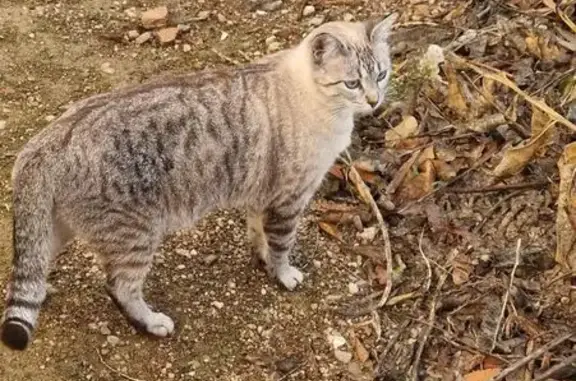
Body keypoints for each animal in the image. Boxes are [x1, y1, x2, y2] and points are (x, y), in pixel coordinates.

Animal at [0, 15, 396, 350]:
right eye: (352, 83)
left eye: (382, 74)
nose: (374, 101)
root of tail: (46, 140)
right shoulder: (288, 199)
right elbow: (282, 245)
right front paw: (283, 274)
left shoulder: (262, 195)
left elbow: (259, 233)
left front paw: (262, 258)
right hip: (135, 235)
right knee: (118, 286)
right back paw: (151, 322)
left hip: (56, 228)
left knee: (29, 266)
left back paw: (43, 289)